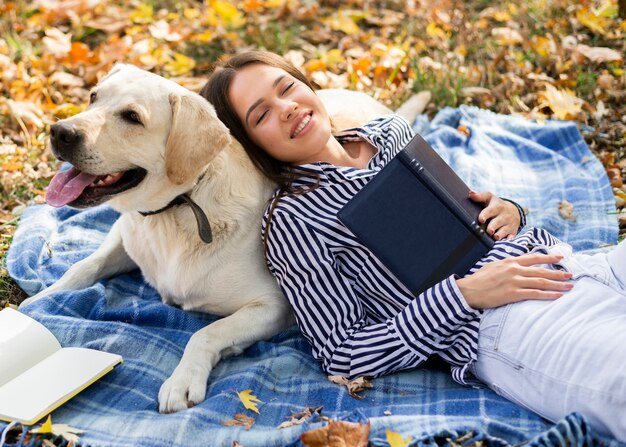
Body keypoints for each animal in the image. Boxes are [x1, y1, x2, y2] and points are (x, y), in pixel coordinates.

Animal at [20, 63, 428, 412]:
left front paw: (182, 380)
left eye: (132, 117)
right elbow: (80, 269)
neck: (177, 210)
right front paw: (35, 305)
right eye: (93, 96)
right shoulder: (125, 232)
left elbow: (207, 332)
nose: (60, 131)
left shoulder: (273, 305)